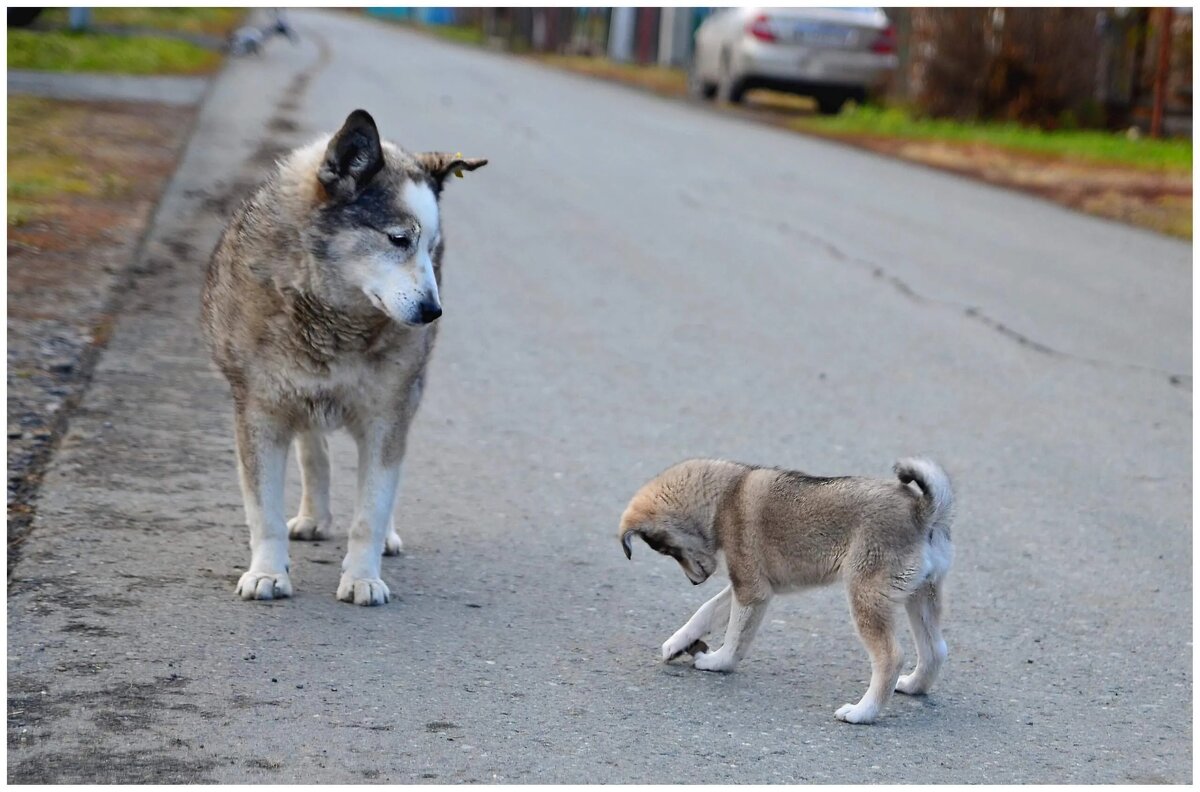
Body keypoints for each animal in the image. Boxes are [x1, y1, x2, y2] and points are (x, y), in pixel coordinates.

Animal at [204, 108, 484, 607]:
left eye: (429, 248)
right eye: (398, 239)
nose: (433, 312)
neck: (330, 317)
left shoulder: (386, 417)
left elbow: (369, 513)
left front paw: (362, 578)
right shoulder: (259, 414)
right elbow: (264, 513)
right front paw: (267, 572)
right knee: (313, 452)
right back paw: (313, 517)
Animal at [624, 458, 950, 724]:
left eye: (667, 550)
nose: (694, 583)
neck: (727, 495)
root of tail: (921, 512)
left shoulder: (751, 591)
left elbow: (734, 639)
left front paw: (718, 662)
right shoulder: (746, 587)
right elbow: (705, 612)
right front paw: (677, 643)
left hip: (866, 599)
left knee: (891, 657)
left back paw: (862, 713)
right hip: (919, 597)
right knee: (935, 650)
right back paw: (913, 686)